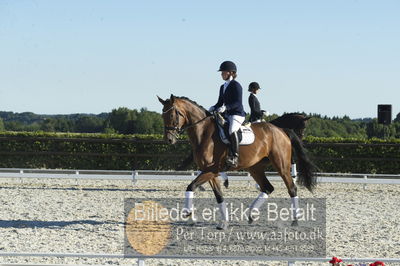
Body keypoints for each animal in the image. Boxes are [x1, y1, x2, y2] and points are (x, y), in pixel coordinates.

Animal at [156, 94, 316, 230]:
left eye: (172, 114)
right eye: (162, 115)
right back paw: (251, 215)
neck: (204, 133)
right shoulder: (210, 172)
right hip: (255, 168)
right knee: (267, 188)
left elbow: (191, 186)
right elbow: (218, 195)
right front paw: (223, 222)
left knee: (291, 188)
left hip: (281, 165)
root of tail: (281, 130)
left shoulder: (212, 170)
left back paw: (295, 220)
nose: (169, 139)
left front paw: (188, 213)